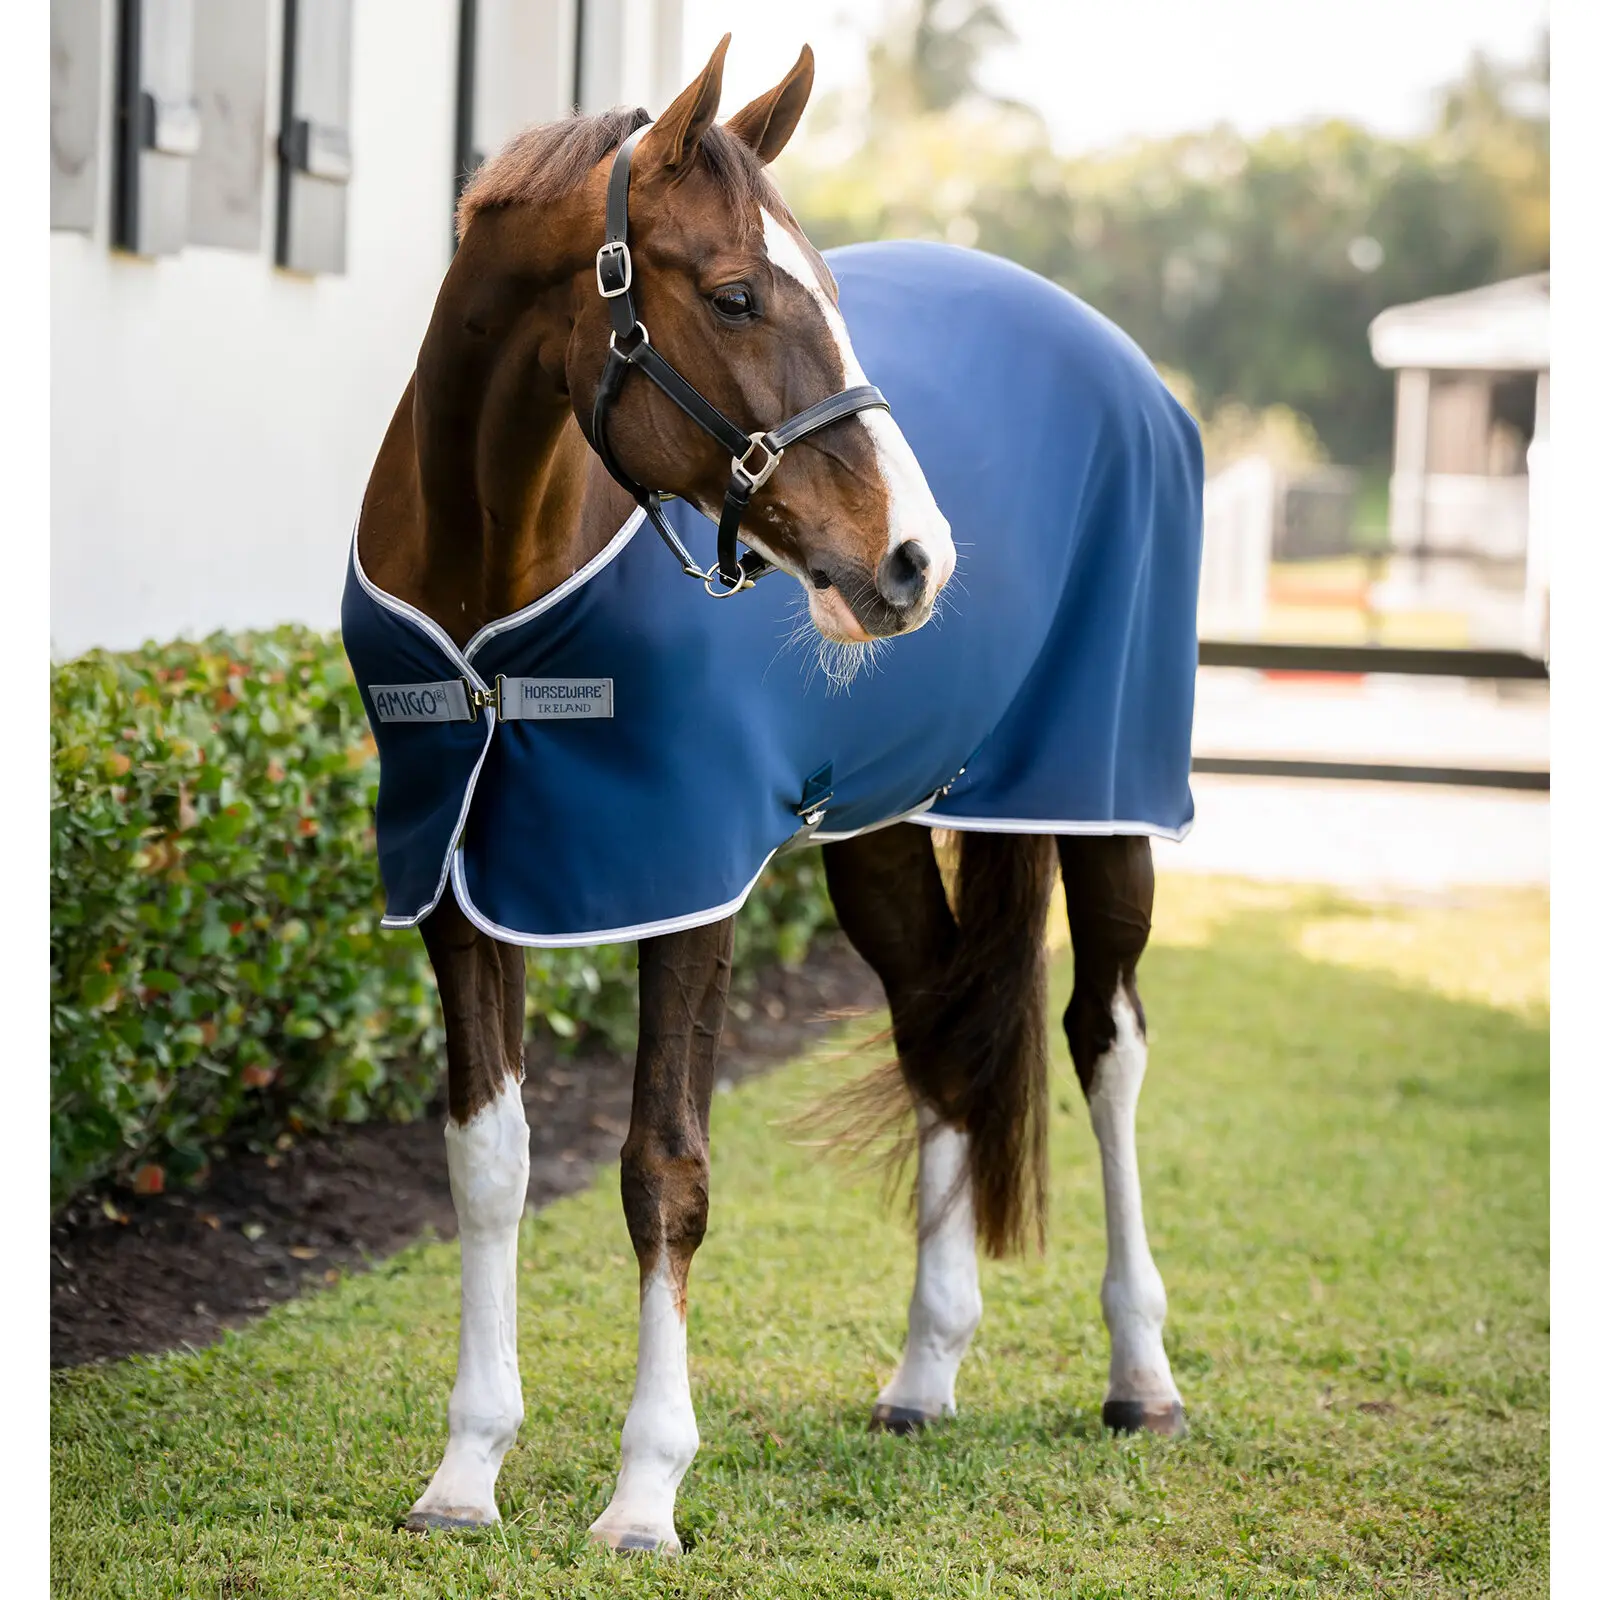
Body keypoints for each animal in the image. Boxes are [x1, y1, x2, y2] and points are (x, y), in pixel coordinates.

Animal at [348, 35, 1200, 1555]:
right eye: (736, 293)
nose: (917, 559)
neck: (491, 577)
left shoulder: (681, 870)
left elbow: (663, 1171)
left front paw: (644, 1489)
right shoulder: (461, 880)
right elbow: (487, 1162)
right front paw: (466, 1469)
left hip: (1108, 806)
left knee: (1105, 1043)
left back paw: (1140, 1374)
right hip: (880, 833)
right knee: (941, 1030)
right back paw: (923, 1373)